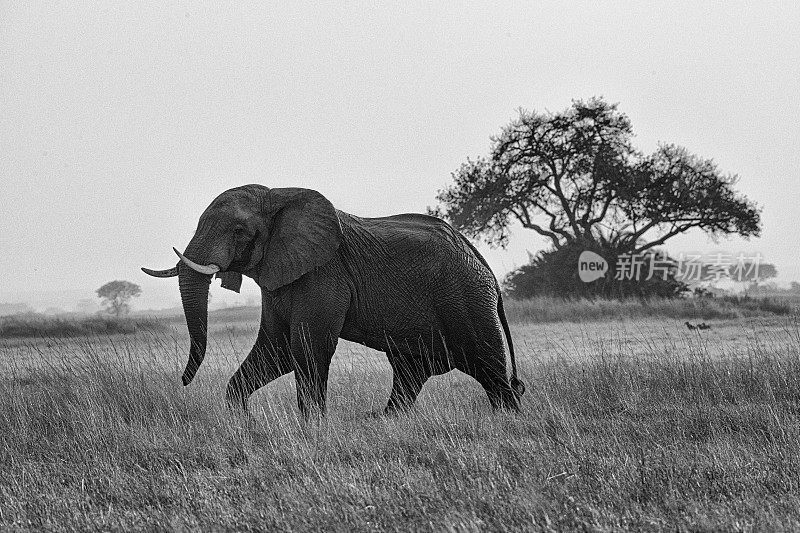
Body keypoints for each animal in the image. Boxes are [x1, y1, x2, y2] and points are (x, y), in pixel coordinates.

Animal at [144, 185, 524, 414]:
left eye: (239, 231)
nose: (182, 382)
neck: (277, 195)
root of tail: (487, 269)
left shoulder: (324, 273)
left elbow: (307, 349)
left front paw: (311, 428)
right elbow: (276, 350)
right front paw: (243, 423)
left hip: (466, 299)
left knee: (489, 369)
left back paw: (507, 421)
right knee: (410, 372)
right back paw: (386, 421)